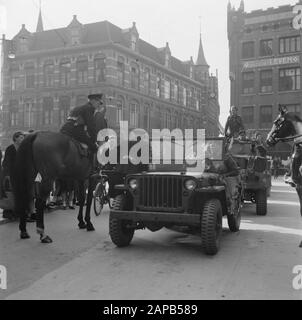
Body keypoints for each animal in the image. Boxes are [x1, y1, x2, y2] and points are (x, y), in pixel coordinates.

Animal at [11, 114, 106, 242]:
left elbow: (82, 199)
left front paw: (81, 222)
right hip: (48, 178)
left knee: (25, 197)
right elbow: (89, 199)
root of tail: (36, 135)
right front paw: (89, 223)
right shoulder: (91, 178)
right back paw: (42, 234)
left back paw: (24, 231)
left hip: (29, 174)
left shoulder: (80, 178)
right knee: (39, 202)